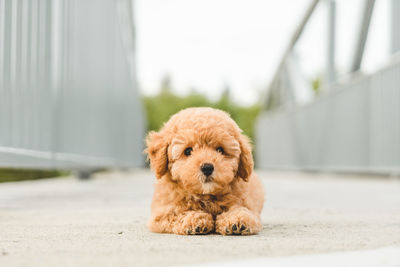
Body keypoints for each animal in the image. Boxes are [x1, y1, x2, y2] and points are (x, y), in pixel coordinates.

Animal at [145, 108, 264, 236]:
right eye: (188, 151)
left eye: (220, 150)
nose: (207, 168)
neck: (205, 196)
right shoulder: (160, 215)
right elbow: (176, 214)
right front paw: (195, 220)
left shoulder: (247, 204)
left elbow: (242, 210)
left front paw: (237, 219)